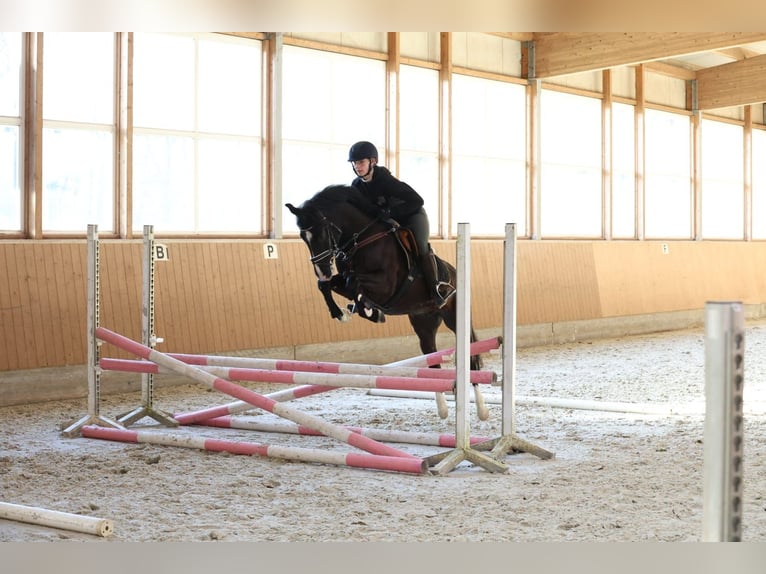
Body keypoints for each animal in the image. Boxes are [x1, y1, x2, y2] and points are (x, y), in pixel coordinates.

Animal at [288, 186, 492, 424]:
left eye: (321, 232)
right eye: (303, 237)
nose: (322, 270)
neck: (362, 239)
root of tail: (454, 272)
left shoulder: (386, 285)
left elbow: (352, 282)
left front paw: (365, 309)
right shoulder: (347, 279)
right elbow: (329, 285)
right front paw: (348, 312)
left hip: (455, 317)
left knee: (471, 357)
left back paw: (481, 409)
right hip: (423, 322)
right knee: (431, 355)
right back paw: (442, 409)